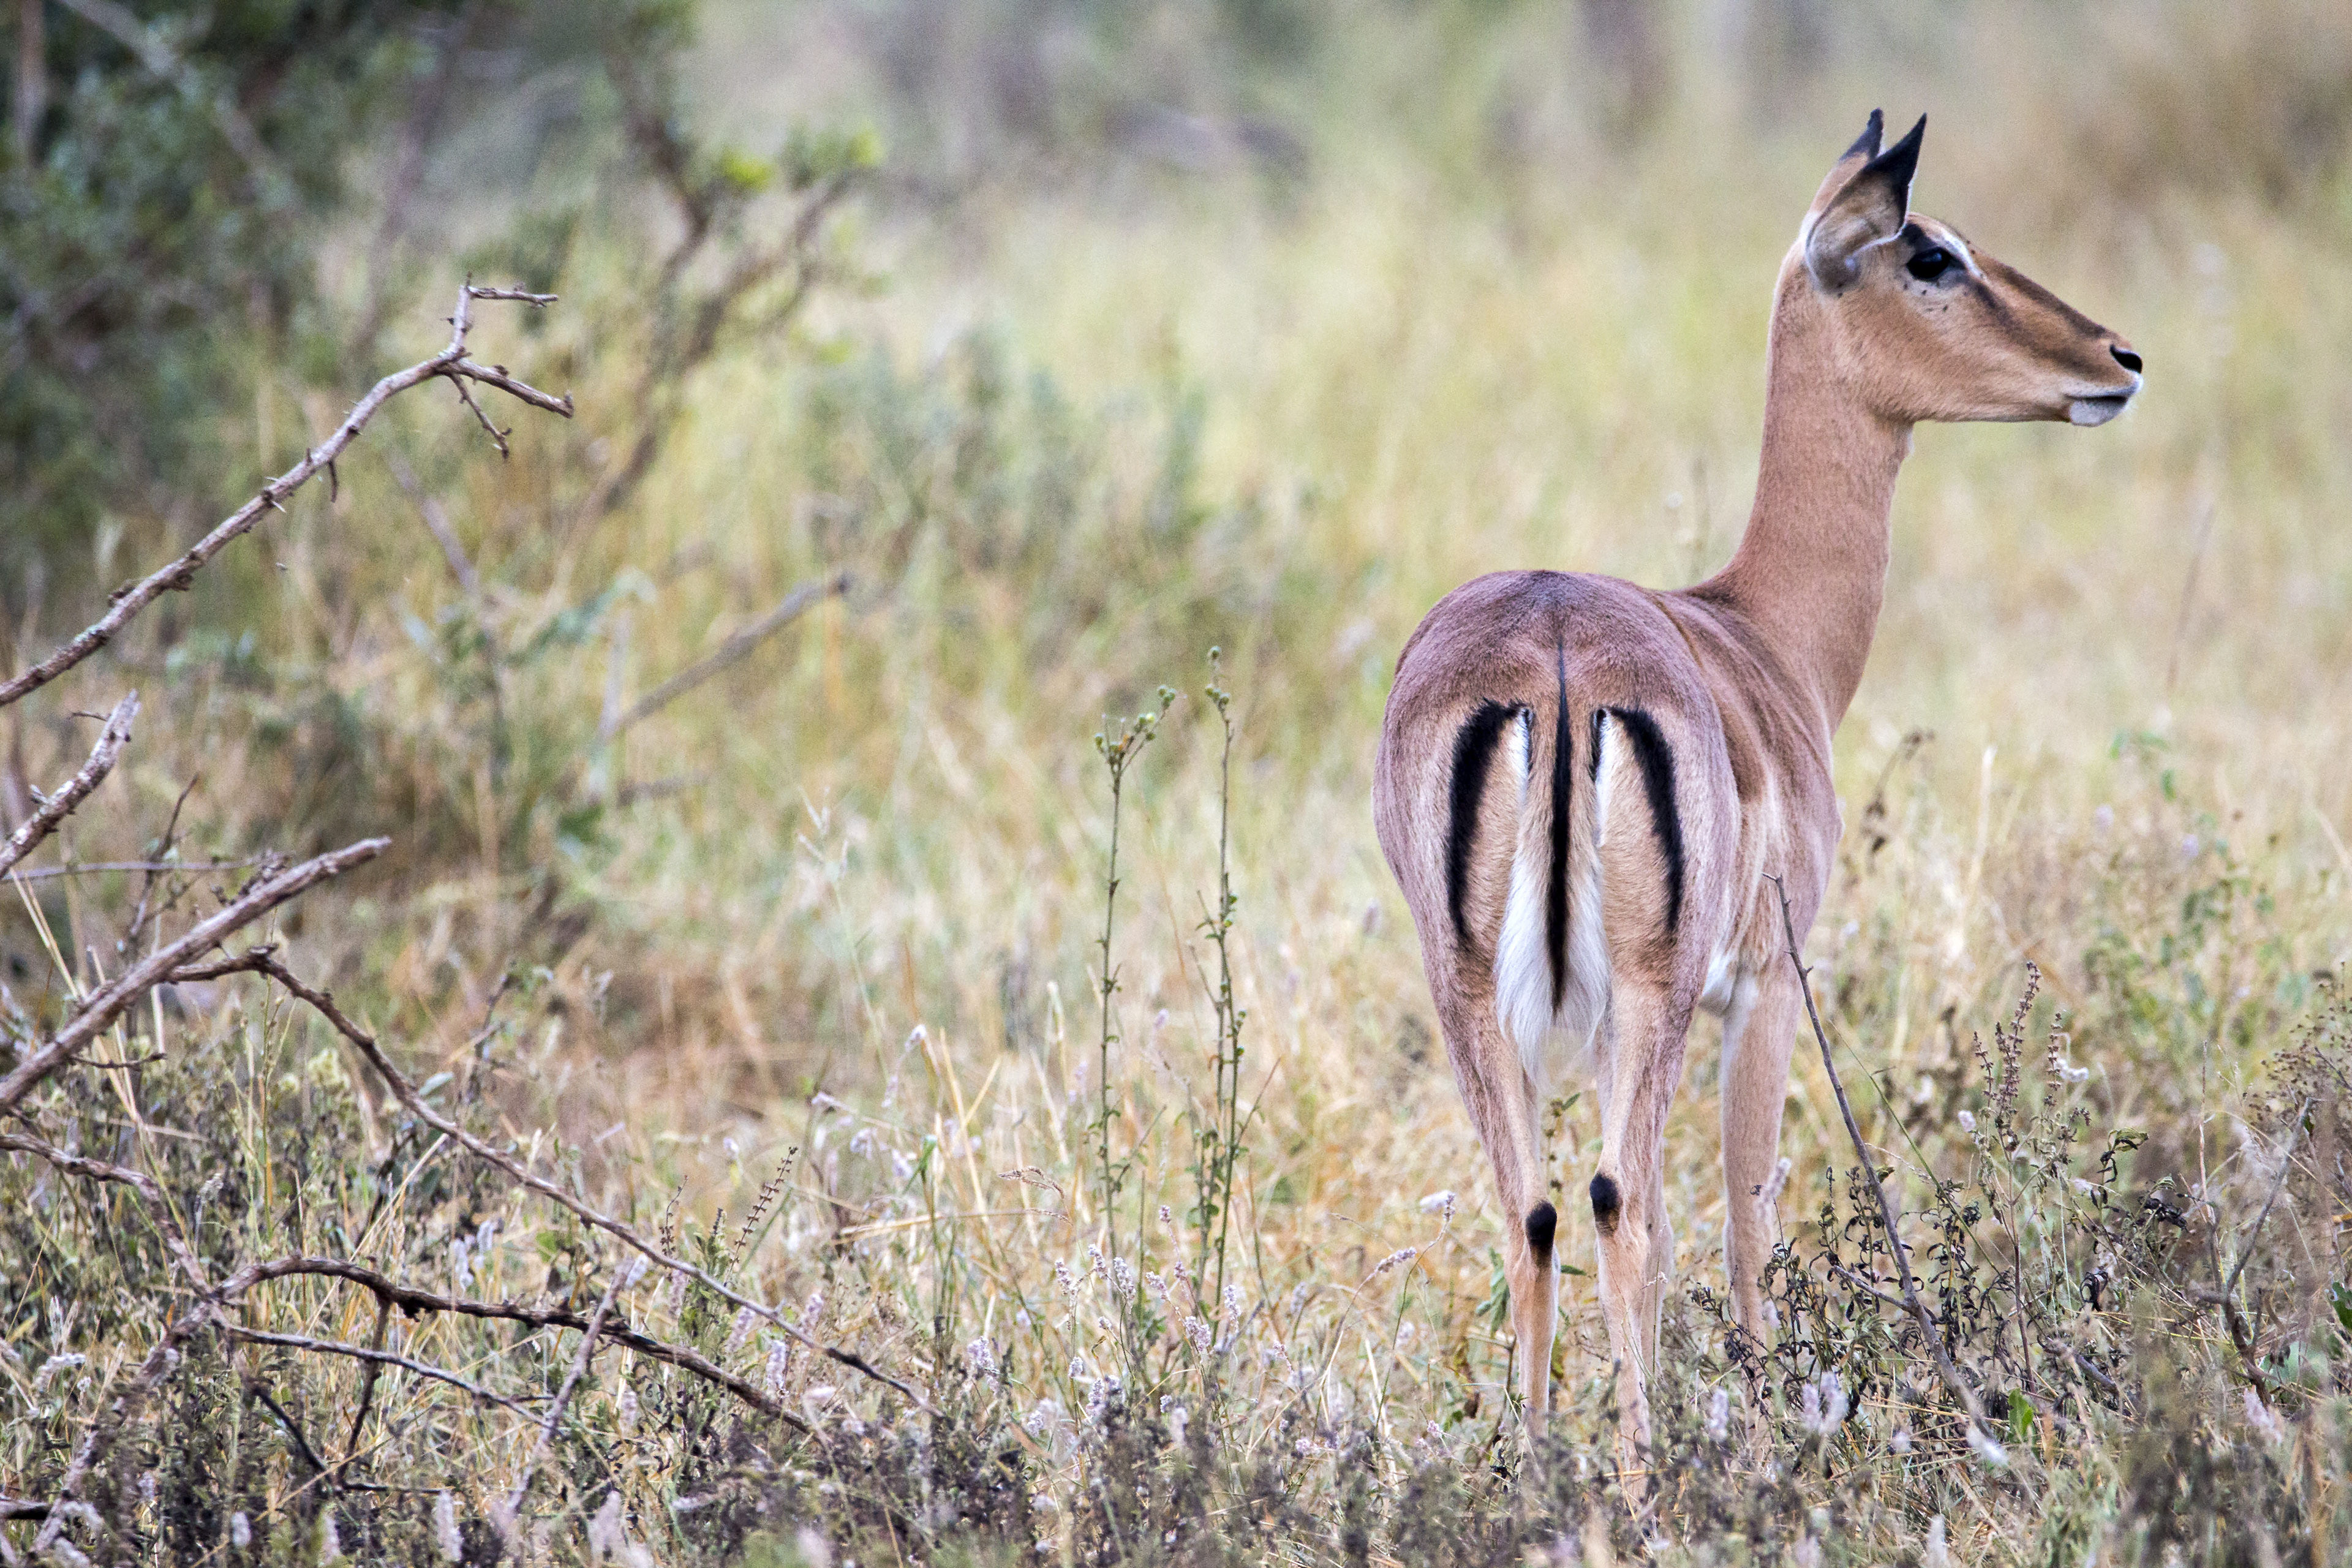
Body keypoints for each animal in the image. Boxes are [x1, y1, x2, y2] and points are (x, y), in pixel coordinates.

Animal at [1372, 112, 2140, 1463]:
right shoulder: (1770, 985)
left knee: (1534, 1208)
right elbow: (1744, 1220)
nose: (2116, 356)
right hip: (1653, 995)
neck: (1763, 636)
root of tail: (1554, 656)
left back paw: (1537, 1468)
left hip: (1470, 995)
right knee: (1619, 1202)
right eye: (1931, 253)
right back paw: (1643, 1475)